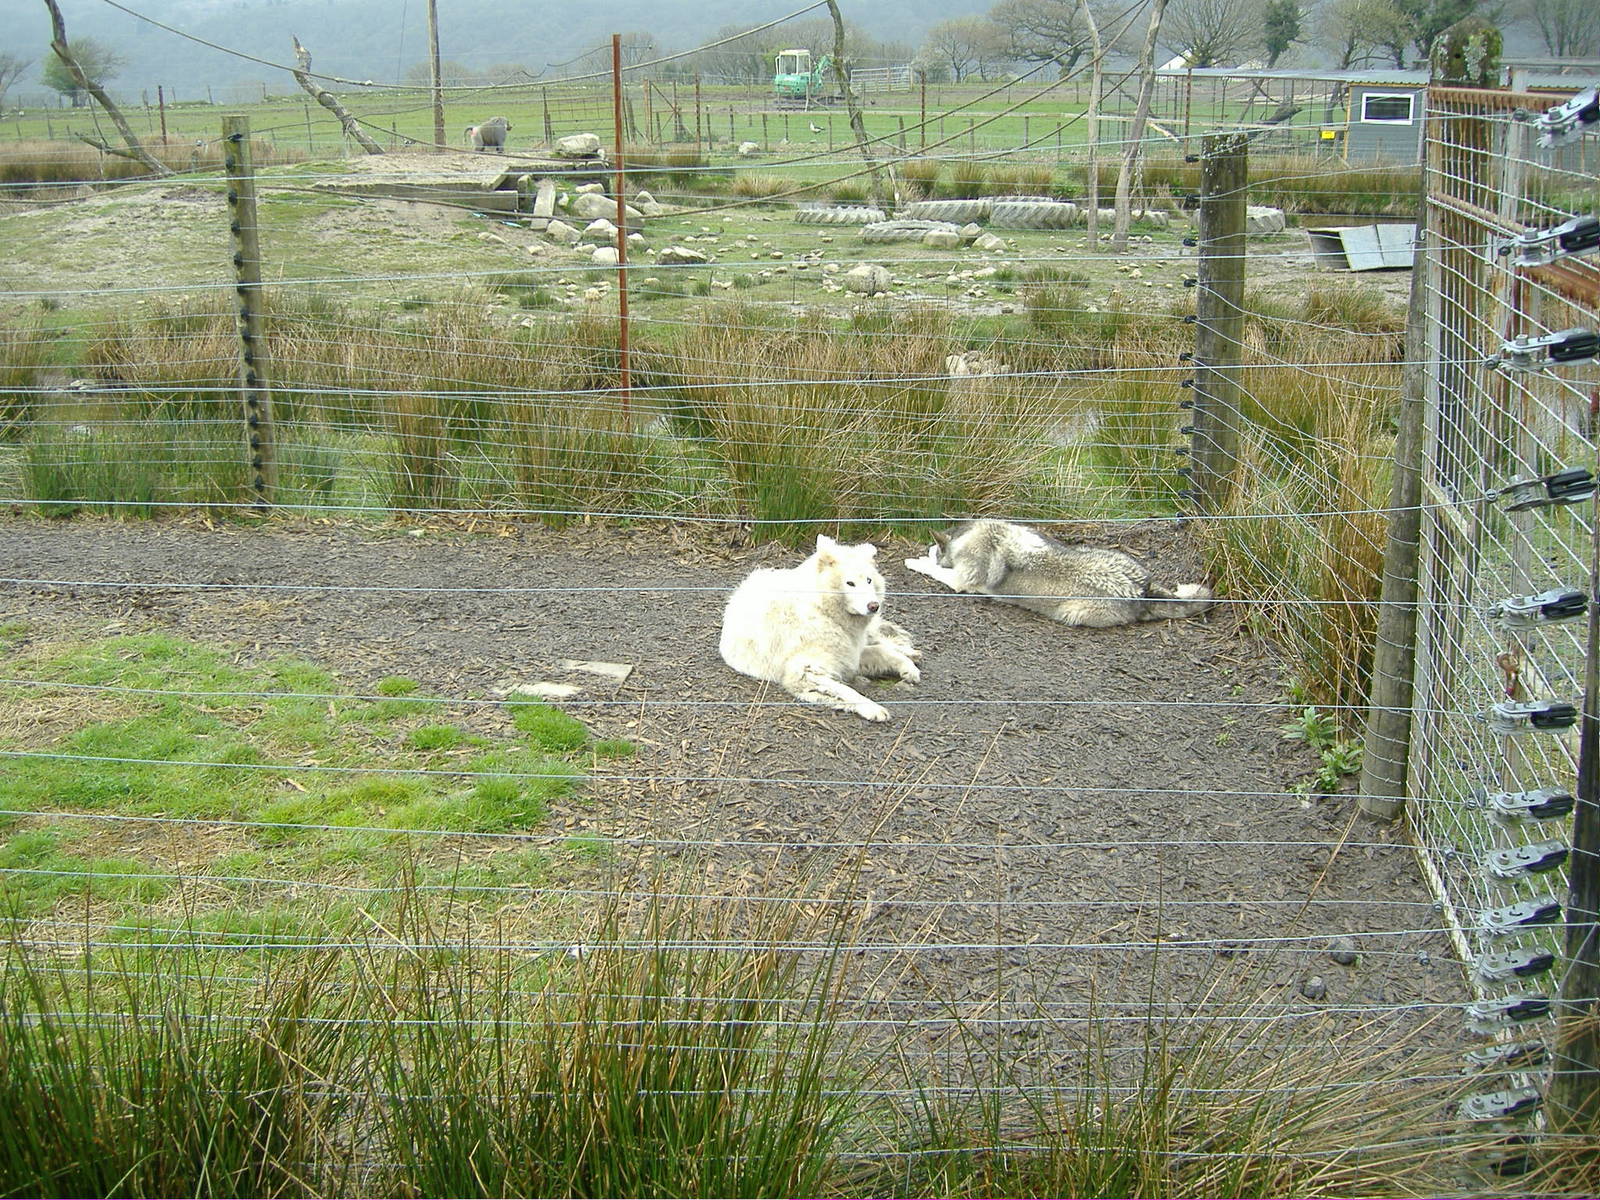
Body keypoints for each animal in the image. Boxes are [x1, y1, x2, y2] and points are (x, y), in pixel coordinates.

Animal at [720, 535, 921, 722]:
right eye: (850, 583)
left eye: (869, 580)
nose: (874, 606)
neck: (822, 609)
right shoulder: (807, 670)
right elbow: (847, 691)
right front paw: (872, 708)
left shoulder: (850, 654)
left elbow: (883, 652)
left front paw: (908, 668)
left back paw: (912, 653)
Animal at [904, 519, 1214, 628]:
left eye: (934, 550)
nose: (929, 549)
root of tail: (1141, 589)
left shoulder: (959, 582)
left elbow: (933, 570)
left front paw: (915, 560)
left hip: (1071, 613)